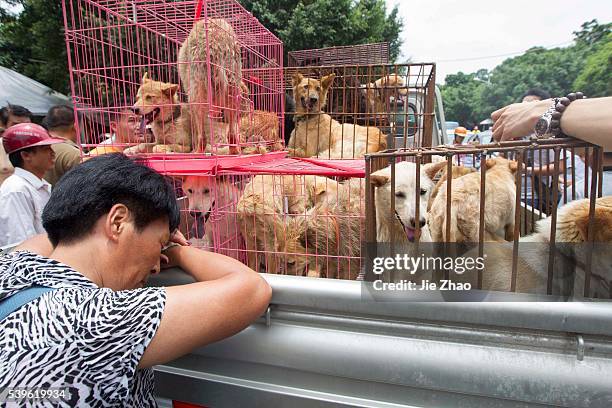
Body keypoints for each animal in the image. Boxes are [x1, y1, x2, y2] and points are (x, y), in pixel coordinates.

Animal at [177, 17, 241, 155]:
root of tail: (216, 41)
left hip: (197, 92)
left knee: (202, 134)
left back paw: (198, 151)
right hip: (233, 87)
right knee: (232, 130)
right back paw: (234, 150)